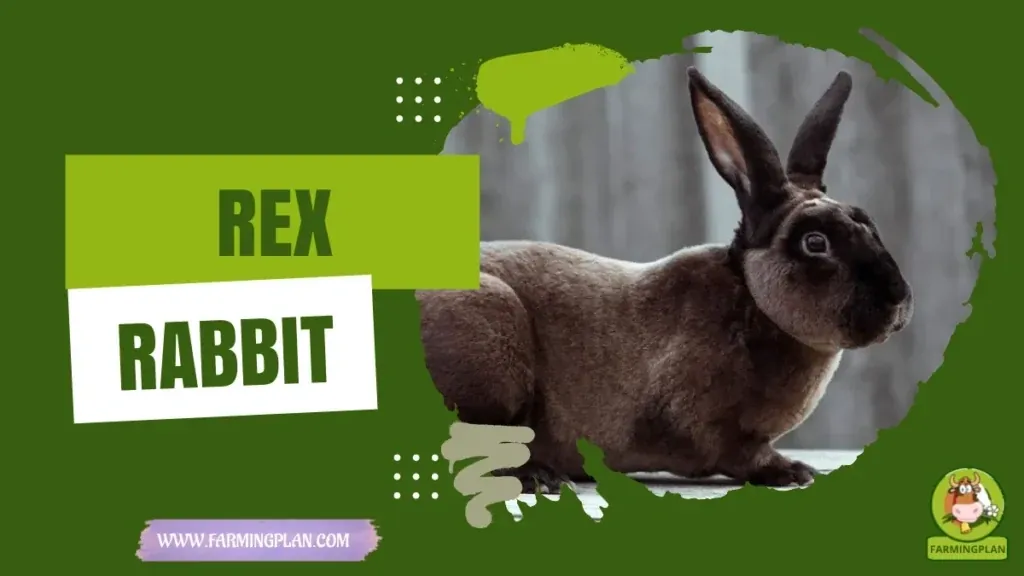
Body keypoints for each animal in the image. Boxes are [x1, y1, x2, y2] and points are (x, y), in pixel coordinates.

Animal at [416, 67, 913, 493]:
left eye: (867, 221)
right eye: (815, 243)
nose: (899, 300)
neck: (752, 300)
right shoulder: (712, 427)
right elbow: (742, 455)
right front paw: (792, 471)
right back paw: (537, 477)